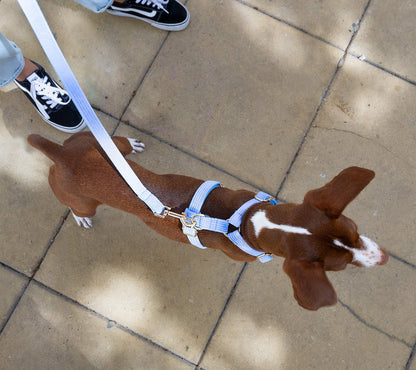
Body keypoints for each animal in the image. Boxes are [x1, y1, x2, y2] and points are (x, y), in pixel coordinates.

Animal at [28, 132, 386, 310]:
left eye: (355, 231)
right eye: (340, 267)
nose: (383, 258)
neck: (245, 222)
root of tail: (61, 155)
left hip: (101, 144)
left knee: (119, 143)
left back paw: (134, 143)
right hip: (82, 201)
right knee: (80, 209)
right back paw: (81, 218)